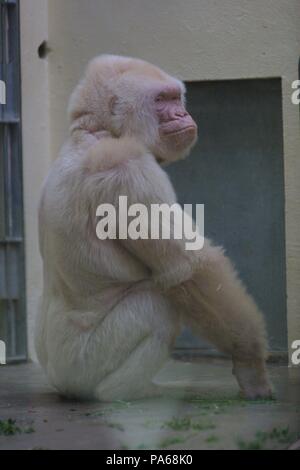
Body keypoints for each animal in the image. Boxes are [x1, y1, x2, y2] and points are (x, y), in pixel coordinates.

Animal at [35, 55, 272, 400]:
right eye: (161, 100)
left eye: (175, 98)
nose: (182, 114)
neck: (95, 130)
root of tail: (57, 380)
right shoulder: (126, 167)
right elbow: (192, 270)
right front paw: (249, 359)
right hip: (81, 369)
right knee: (157, 309)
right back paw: (119, 394)